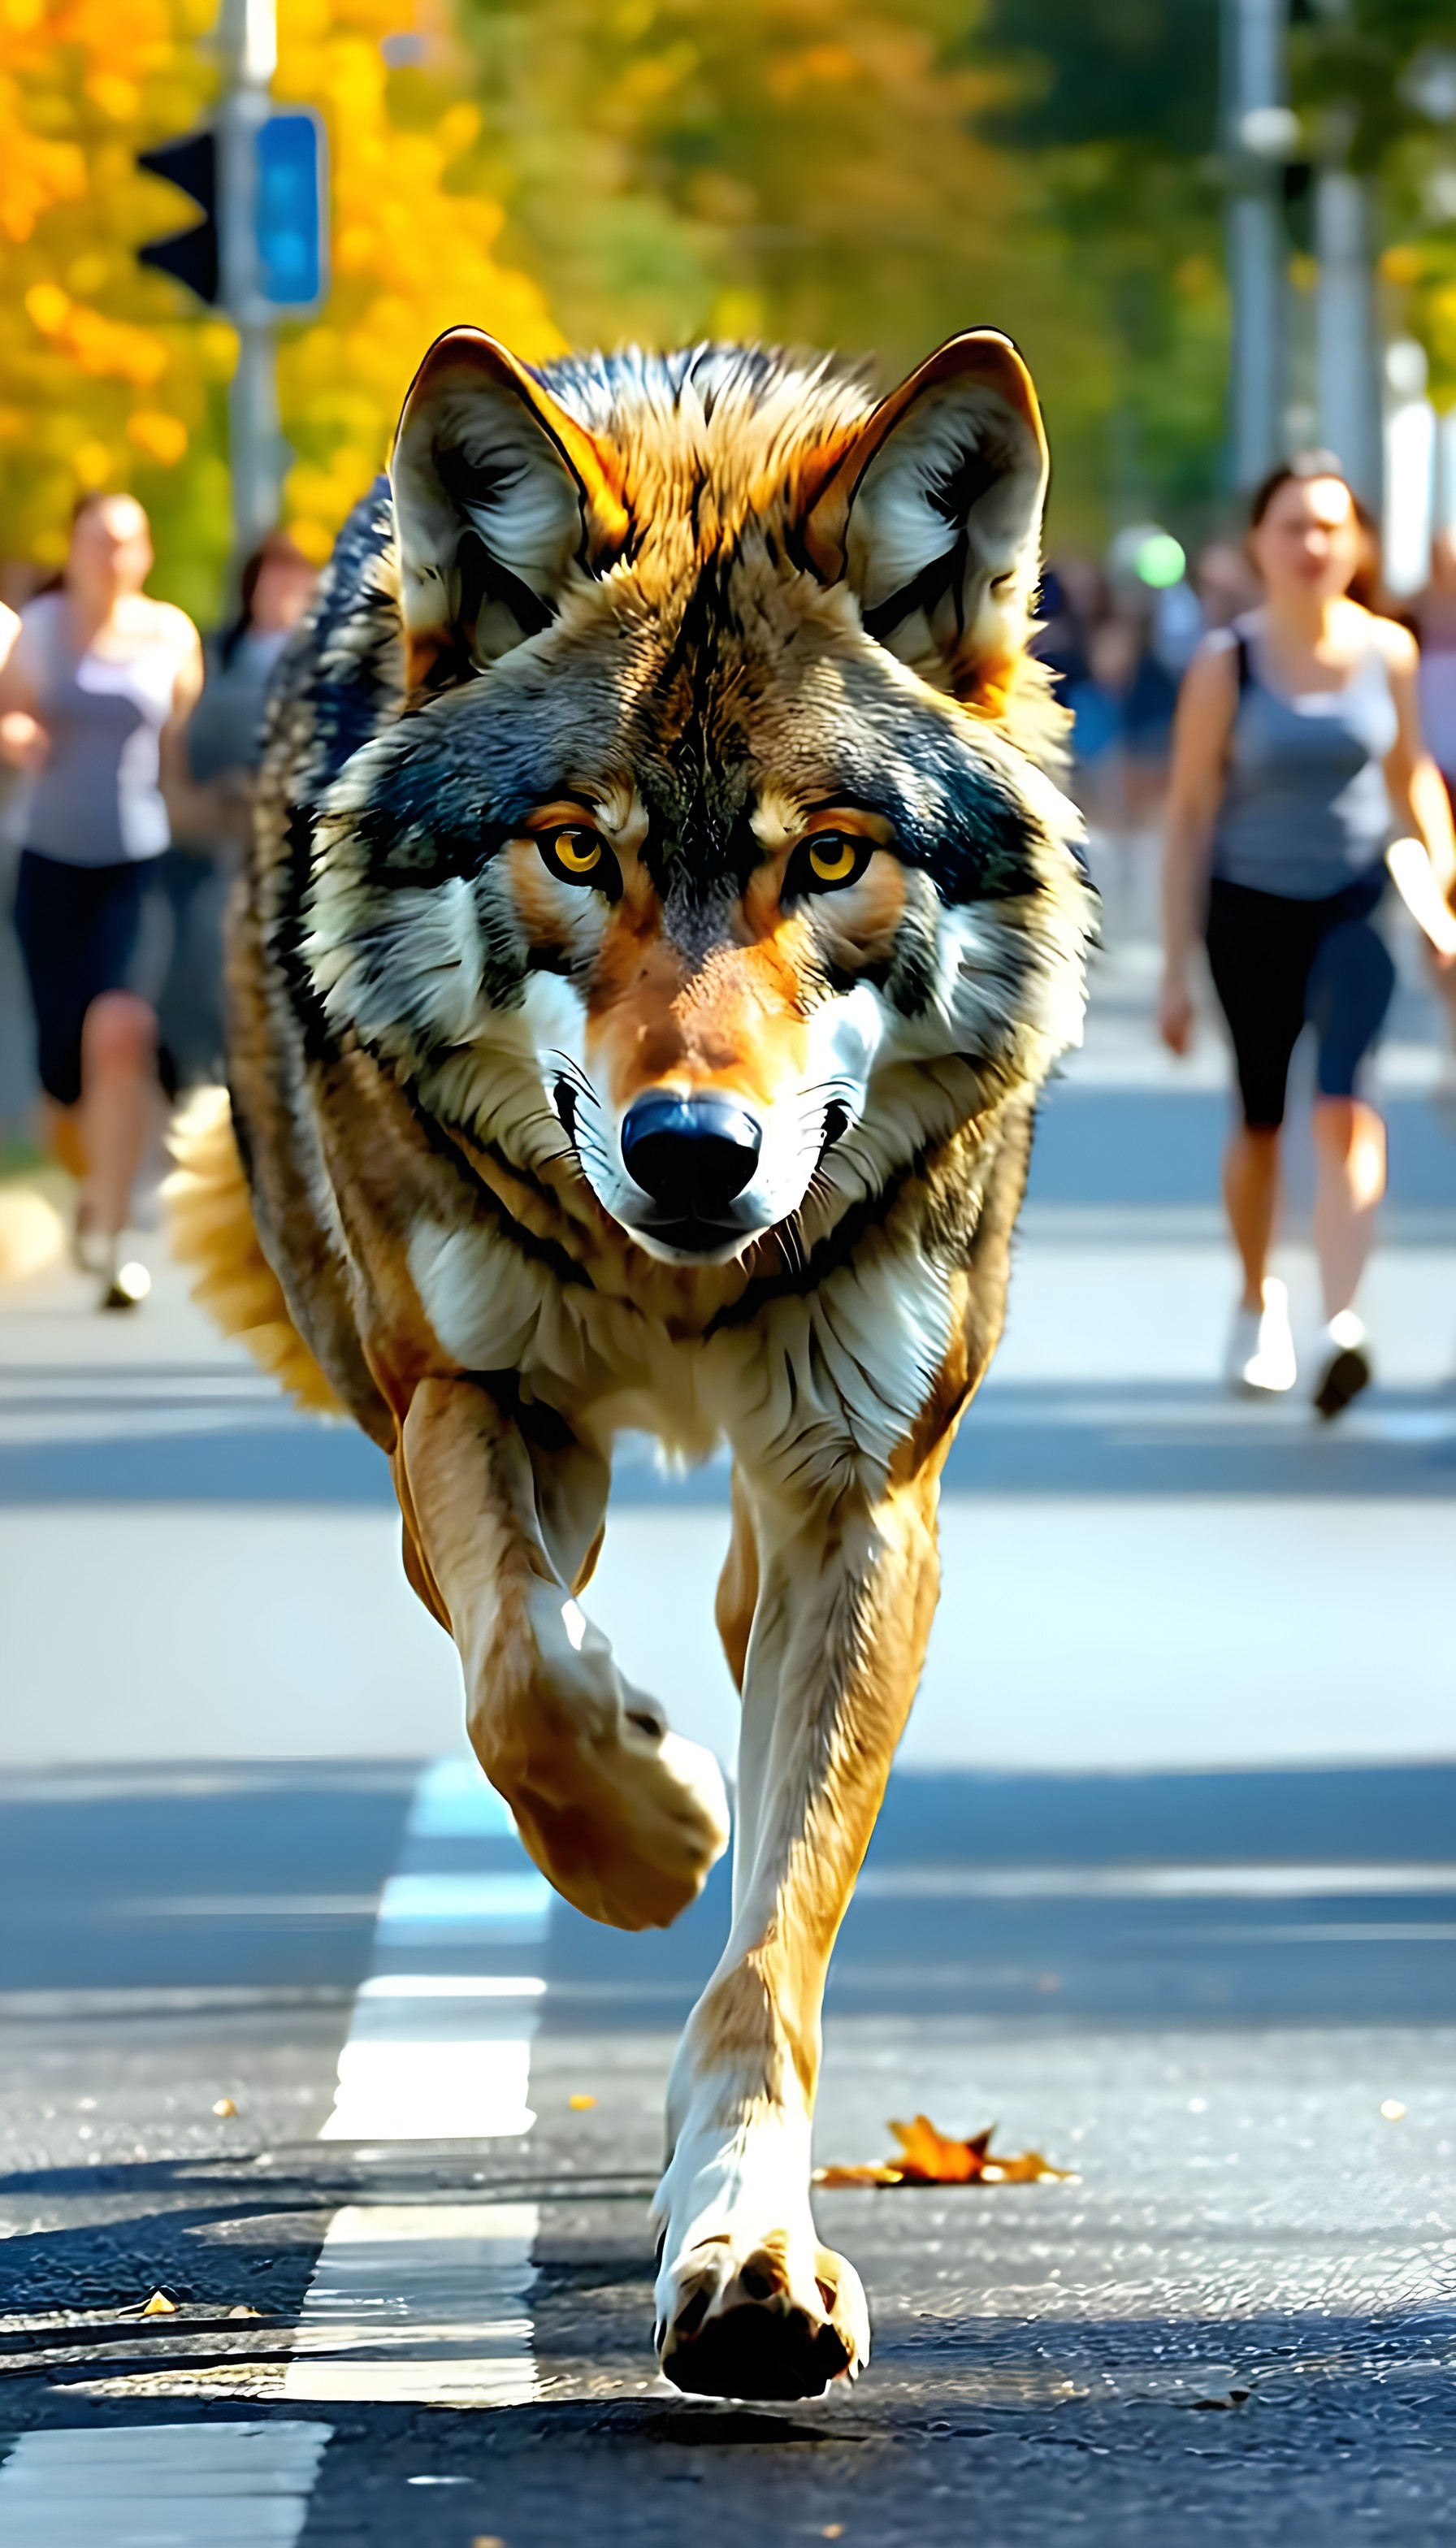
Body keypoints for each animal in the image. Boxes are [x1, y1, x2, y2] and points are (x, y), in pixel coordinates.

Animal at [171, 325, 1093, 2403]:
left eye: (826, 854)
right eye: (574, 847)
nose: (691, 1154)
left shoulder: (864, 1495)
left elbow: (770, 1954)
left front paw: (747, 2251)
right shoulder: (467, 1402)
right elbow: (525, 1690)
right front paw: (652, 1830)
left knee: (737, 1630)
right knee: (545, 1631)